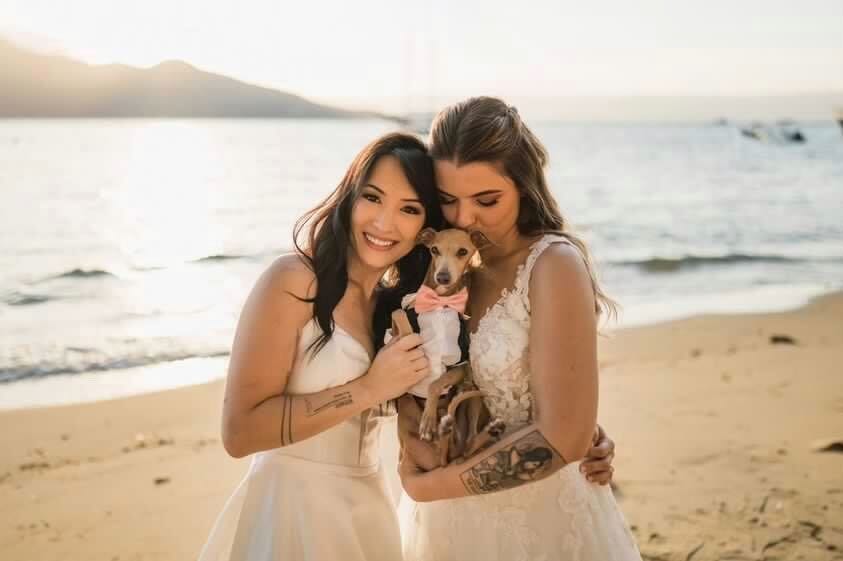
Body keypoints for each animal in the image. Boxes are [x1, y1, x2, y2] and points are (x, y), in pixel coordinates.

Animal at [392, 228, 504, 468]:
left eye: (462, 252)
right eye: (434, 250)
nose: (442, 277)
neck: (440, 302)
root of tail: (450, 452)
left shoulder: (459, 365)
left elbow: (435, 383)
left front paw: (428, 421)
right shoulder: (402, 321)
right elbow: (398, 315)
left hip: (471, 397)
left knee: (470, 444)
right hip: (407, 408)